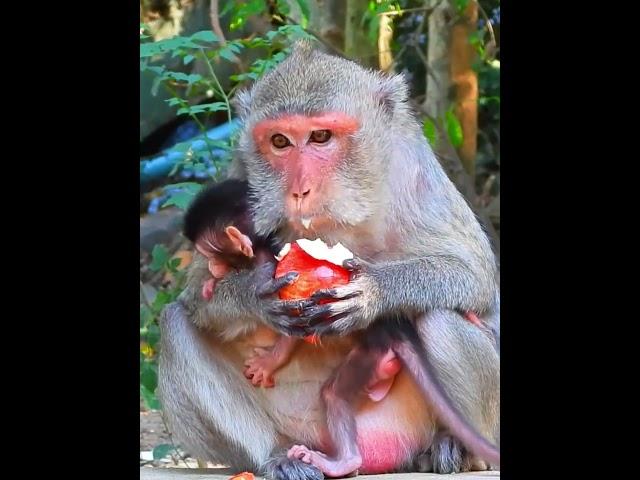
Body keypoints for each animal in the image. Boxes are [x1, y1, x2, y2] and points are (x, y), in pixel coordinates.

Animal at [159, 39, 500, 478]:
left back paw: (456, 446)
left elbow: (475, 277)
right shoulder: (243, 167)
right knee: (175, 323)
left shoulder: (414, 166)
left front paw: (373, 291)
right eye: (280, 142)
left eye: (321, 136)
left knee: (438, 315)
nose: (299, 190)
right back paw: (278, 456)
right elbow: (196, 297)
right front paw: (253, 292)